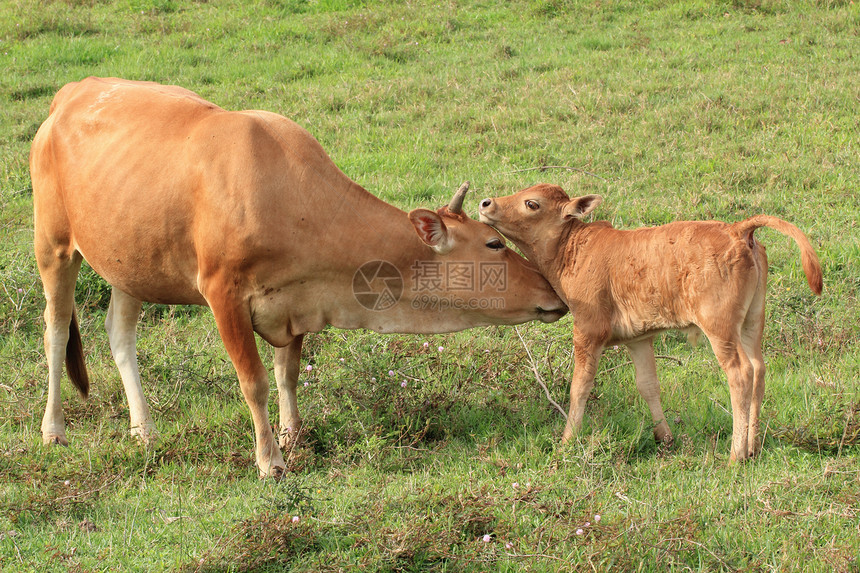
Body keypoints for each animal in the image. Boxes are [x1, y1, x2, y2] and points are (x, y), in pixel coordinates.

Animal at [30, 78, 568, 476]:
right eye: (494, 243)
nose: (554, 294)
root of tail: (72, 91)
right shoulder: (223, 292)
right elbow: (254, 381)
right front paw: (270, 460)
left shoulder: (296, 303)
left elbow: (286, 375)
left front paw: (293, 436)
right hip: (53, 243)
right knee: (55, 332)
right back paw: (53, 429)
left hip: (130, 261)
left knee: (120, 334)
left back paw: (143, 429)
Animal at [480, 183, 824, 460]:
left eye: (531, 203)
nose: (486, 203)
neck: (573, 250)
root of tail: (738, 229)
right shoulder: (639, 337)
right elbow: (648, 385)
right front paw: (665, 437)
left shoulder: (588, 329)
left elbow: (580, 386)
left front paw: (567, 441)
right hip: (753, 319)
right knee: (760, 369)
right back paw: (753, 447)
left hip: (720, 326)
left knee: (741, 372)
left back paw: (735, 455)